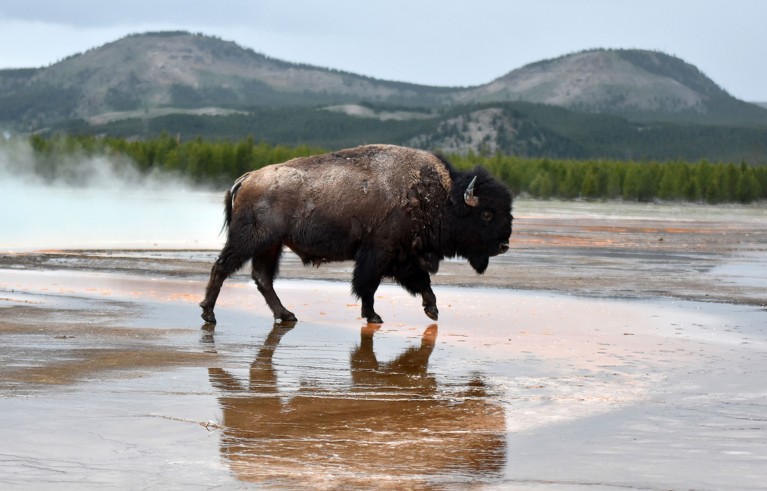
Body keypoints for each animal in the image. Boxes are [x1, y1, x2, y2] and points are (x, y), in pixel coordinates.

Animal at [202, 144, 516, 324]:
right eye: (487, 214)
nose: (504, 245)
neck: (438, 196)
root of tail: (246, 178)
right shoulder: (379, 253)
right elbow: (369, 285)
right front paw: (374, 316)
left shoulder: (403, 256)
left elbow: (419, 282)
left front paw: (432, 310)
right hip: (252, 240)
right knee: (223, 267)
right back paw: (209, 314)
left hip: (272, 245)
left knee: (262, 278)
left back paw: (286, 315)